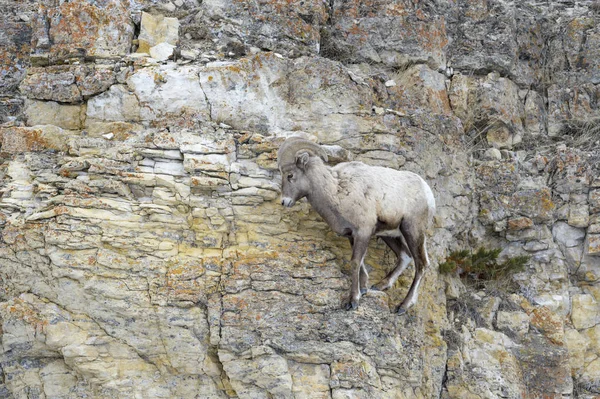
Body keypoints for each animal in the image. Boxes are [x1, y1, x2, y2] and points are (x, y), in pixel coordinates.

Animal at [276, 138, 436, 316]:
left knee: (421, 264)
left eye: (290, 175)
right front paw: (364, 288)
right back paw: (380, 285)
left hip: (412, 231)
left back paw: (403, 306)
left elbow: (355, 262)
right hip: (389, 235)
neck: (337, 190)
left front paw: (353, 301)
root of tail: (428, 193)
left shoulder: (363, 232)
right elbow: (360, 264)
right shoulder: (353, 235)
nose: (284, 201)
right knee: (405, 256)